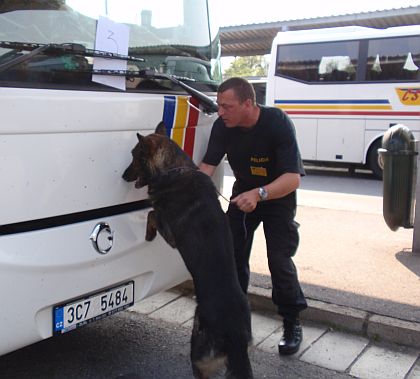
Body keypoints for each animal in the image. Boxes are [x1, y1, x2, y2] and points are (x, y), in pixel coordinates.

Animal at [121, 122, 253, 379]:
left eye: (134, 156)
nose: (122, 176)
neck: (173, 169)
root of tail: (236, 337)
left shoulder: (170, 233)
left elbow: (151, 213)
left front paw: (148, 235)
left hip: (197, 352)